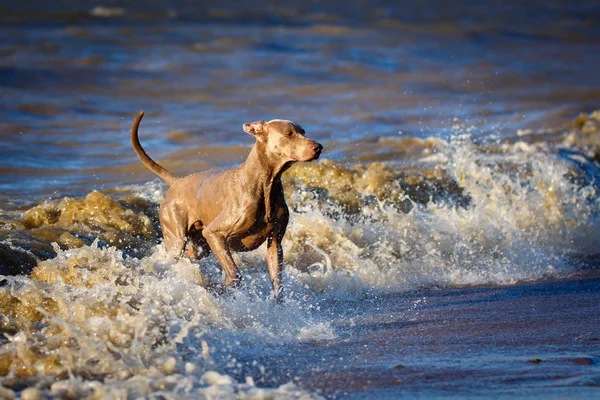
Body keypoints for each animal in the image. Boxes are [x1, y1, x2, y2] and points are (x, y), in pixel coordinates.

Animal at [129, 111, 322, 298]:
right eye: (289, 133)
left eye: (304, 131)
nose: (319, 147)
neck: (266, 184)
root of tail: (177, 181)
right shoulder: (214, 233)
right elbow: (234, 273)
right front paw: (218, 288)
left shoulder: (275, 242)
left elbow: (277, 281)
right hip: (176, 234)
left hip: (199, 242)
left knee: (194, 252)